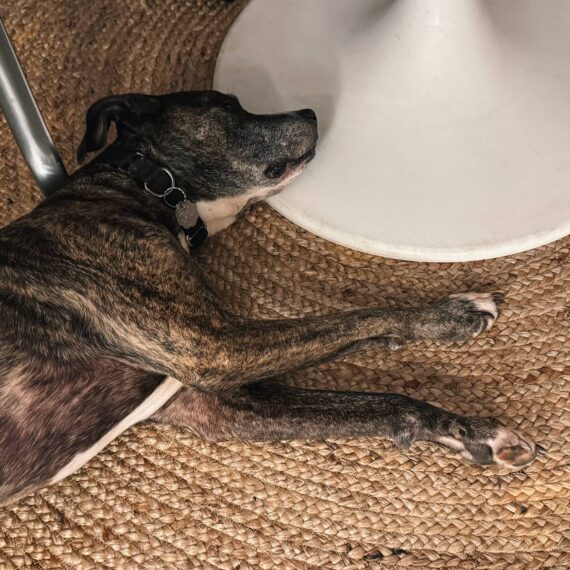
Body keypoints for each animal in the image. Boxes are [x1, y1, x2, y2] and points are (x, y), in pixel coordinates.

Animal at [0, 91, 532, 504]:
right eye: (225, 105)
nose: (311, 111)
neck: (139, 185)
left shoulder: (214, 402)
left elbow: (384, 402)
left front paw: (473, 433)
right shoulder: (212, 344)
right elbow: (366, 316)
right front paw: (453, 313)